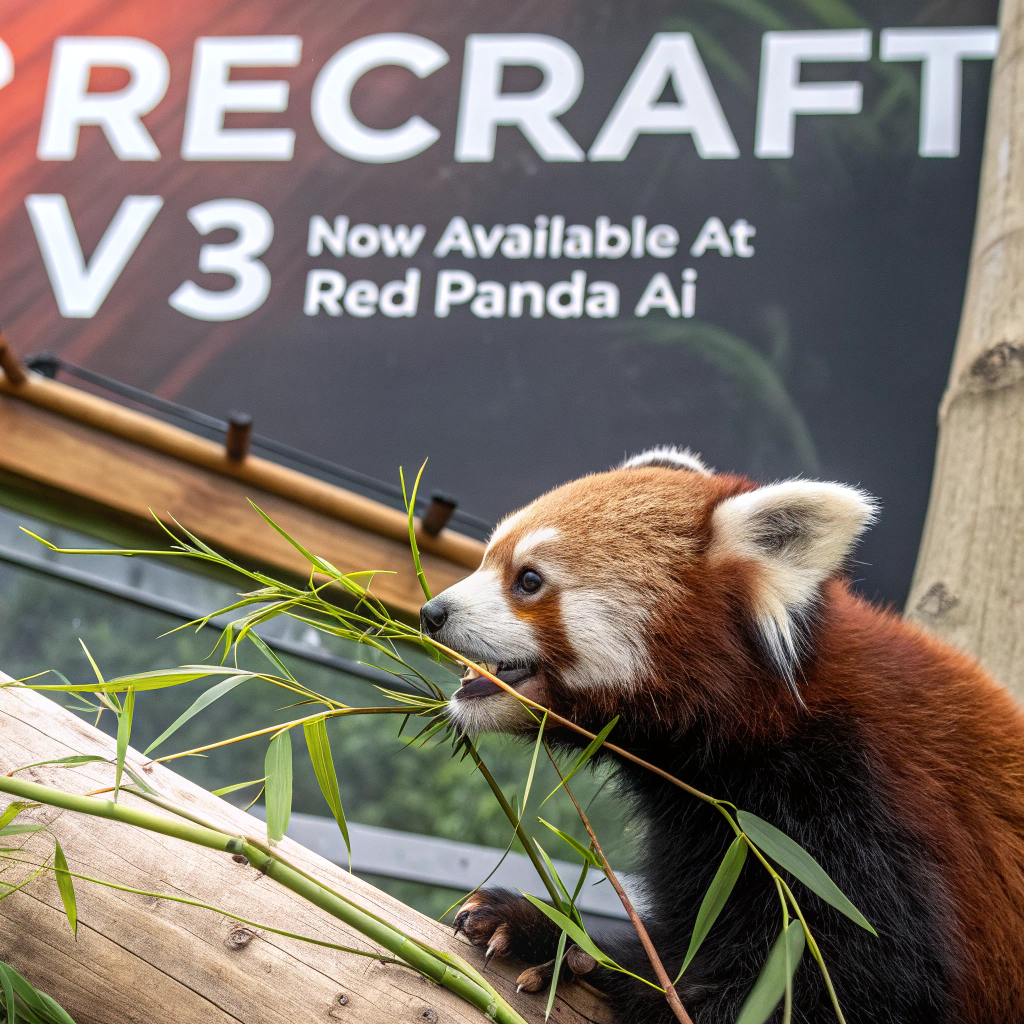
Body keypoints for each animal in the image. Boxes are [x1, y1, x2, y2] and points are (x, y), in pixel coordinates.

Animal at [418, 447, 1024, 1024]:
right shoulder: (703, 829)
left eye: (528, 580)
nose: (431, 611)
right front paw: (541, 929)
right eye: (487, 558)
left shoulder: (860, 807)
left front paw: (598, 966)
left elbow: (849, 983)